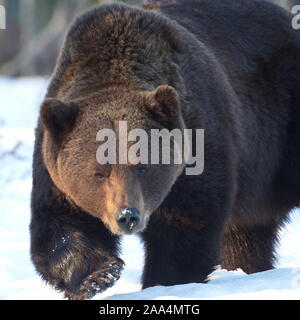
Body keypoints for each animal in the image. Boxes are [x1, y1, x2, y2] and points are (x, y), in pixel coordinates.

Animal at [29, 0, 300, 300]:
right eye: (99, 173)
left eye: (142, 166)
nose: (127, 216)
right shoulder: (54, 167)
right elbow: (59, 228)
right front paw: (98, 275)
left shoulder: (199, 147)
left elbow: (184, 233)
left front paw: (165, 282)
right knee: (248, 235)